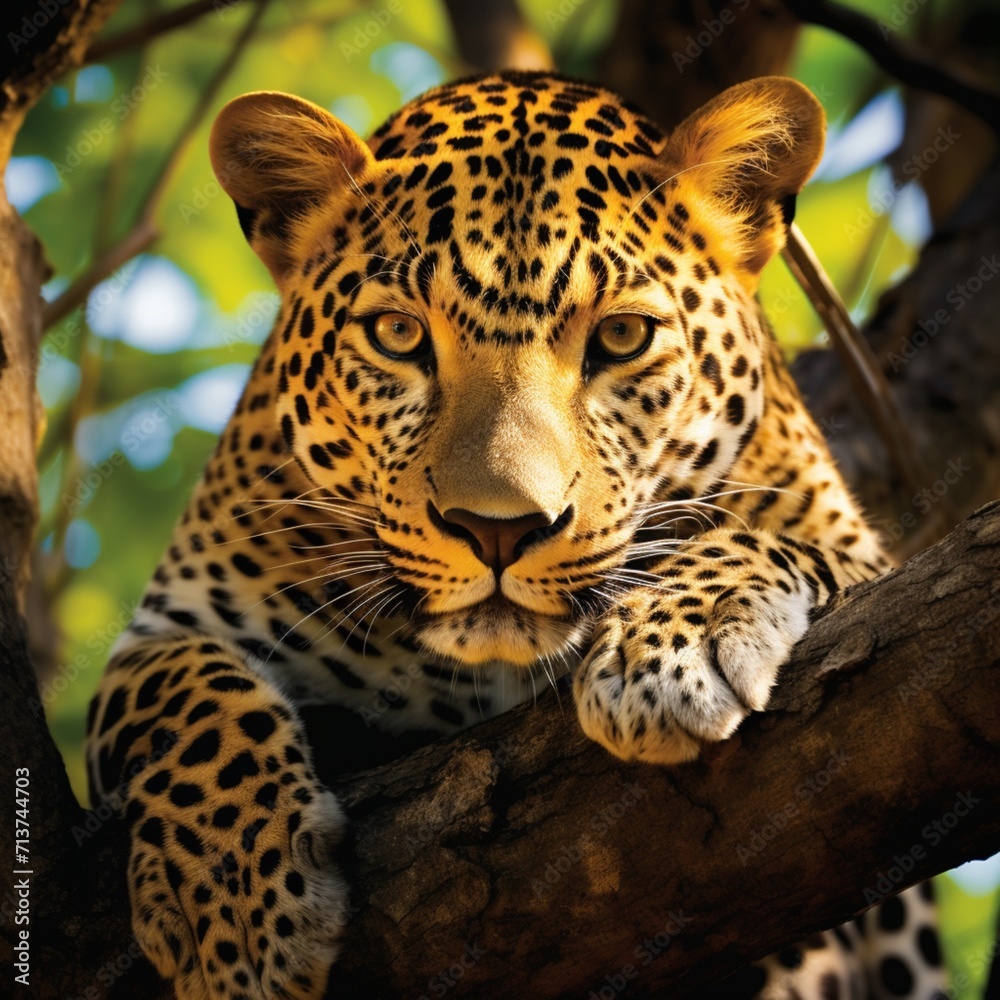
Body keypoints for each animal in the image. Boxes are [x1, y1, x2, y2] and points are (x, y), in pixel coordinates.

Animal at [85, 70, 947, 999]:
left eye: (621, 335)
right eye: (397, 334)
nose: (497, 529)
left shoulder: (858, 547)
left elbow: (765, 542)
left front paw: (669, 649)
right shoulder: (179, 619)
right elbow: (183, 698)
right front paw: (235, 904)